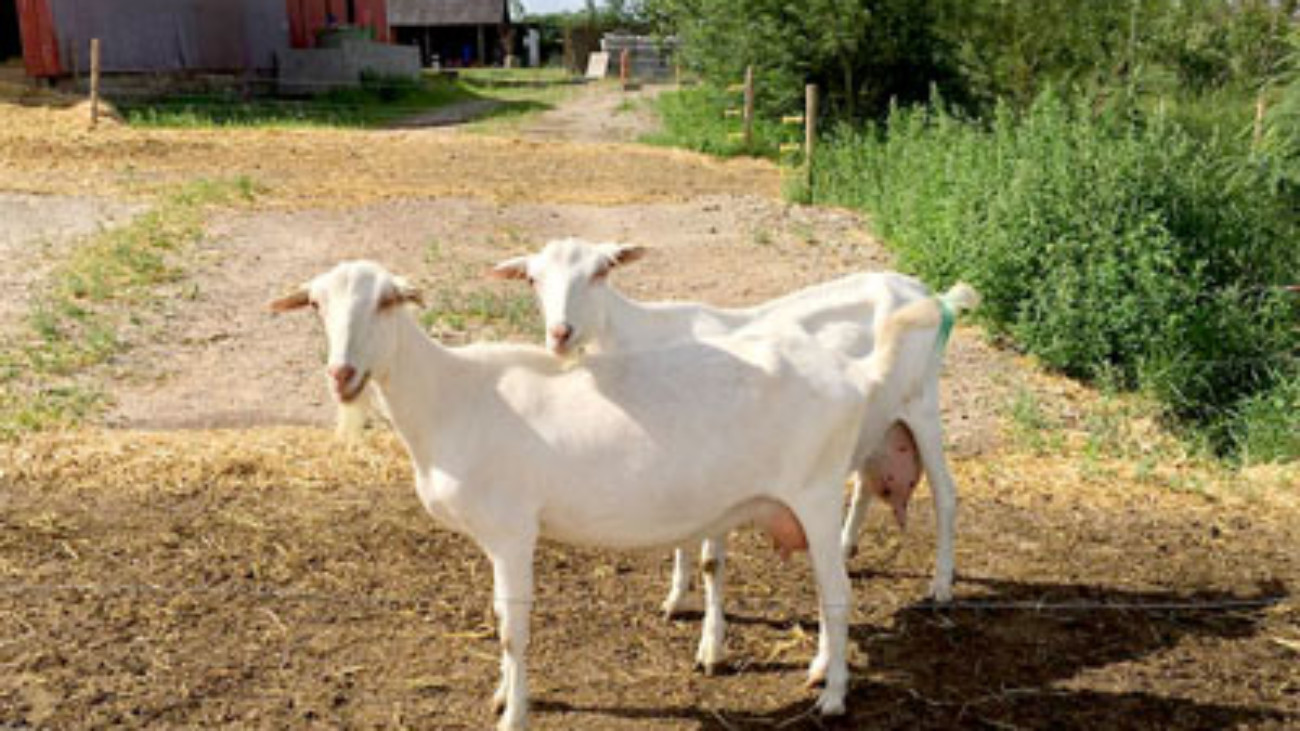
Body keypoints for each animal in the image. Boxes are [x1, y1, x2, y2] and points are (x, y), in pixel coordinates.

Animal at [271, 260, 940, 728]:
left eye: (386, 301)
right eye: (316, 304)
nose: (341, 374)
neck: (450, 396)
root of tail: (854, 374)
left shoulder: (513, 530)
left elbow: (513, 629)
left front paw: (515, 714)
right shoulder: (497, 539)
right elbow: (499, 620)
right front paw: (501, 694)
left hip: (818, 495)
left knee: (839, 595)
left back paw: (834, 699)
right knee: (829, 595)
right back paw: (821, 671)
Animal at [492, 239, 977, 671]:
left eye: (601, 271)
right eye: (533, 279)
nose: (560, 334)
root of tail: (926, 292)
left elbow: (711, 561)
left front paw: (711, 648)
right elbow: (684, 540)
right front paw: (675, 599)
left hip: (922, 404)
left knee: (946, 494)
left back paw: (940, 585)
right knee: (862, 484)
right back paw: (844, 545)